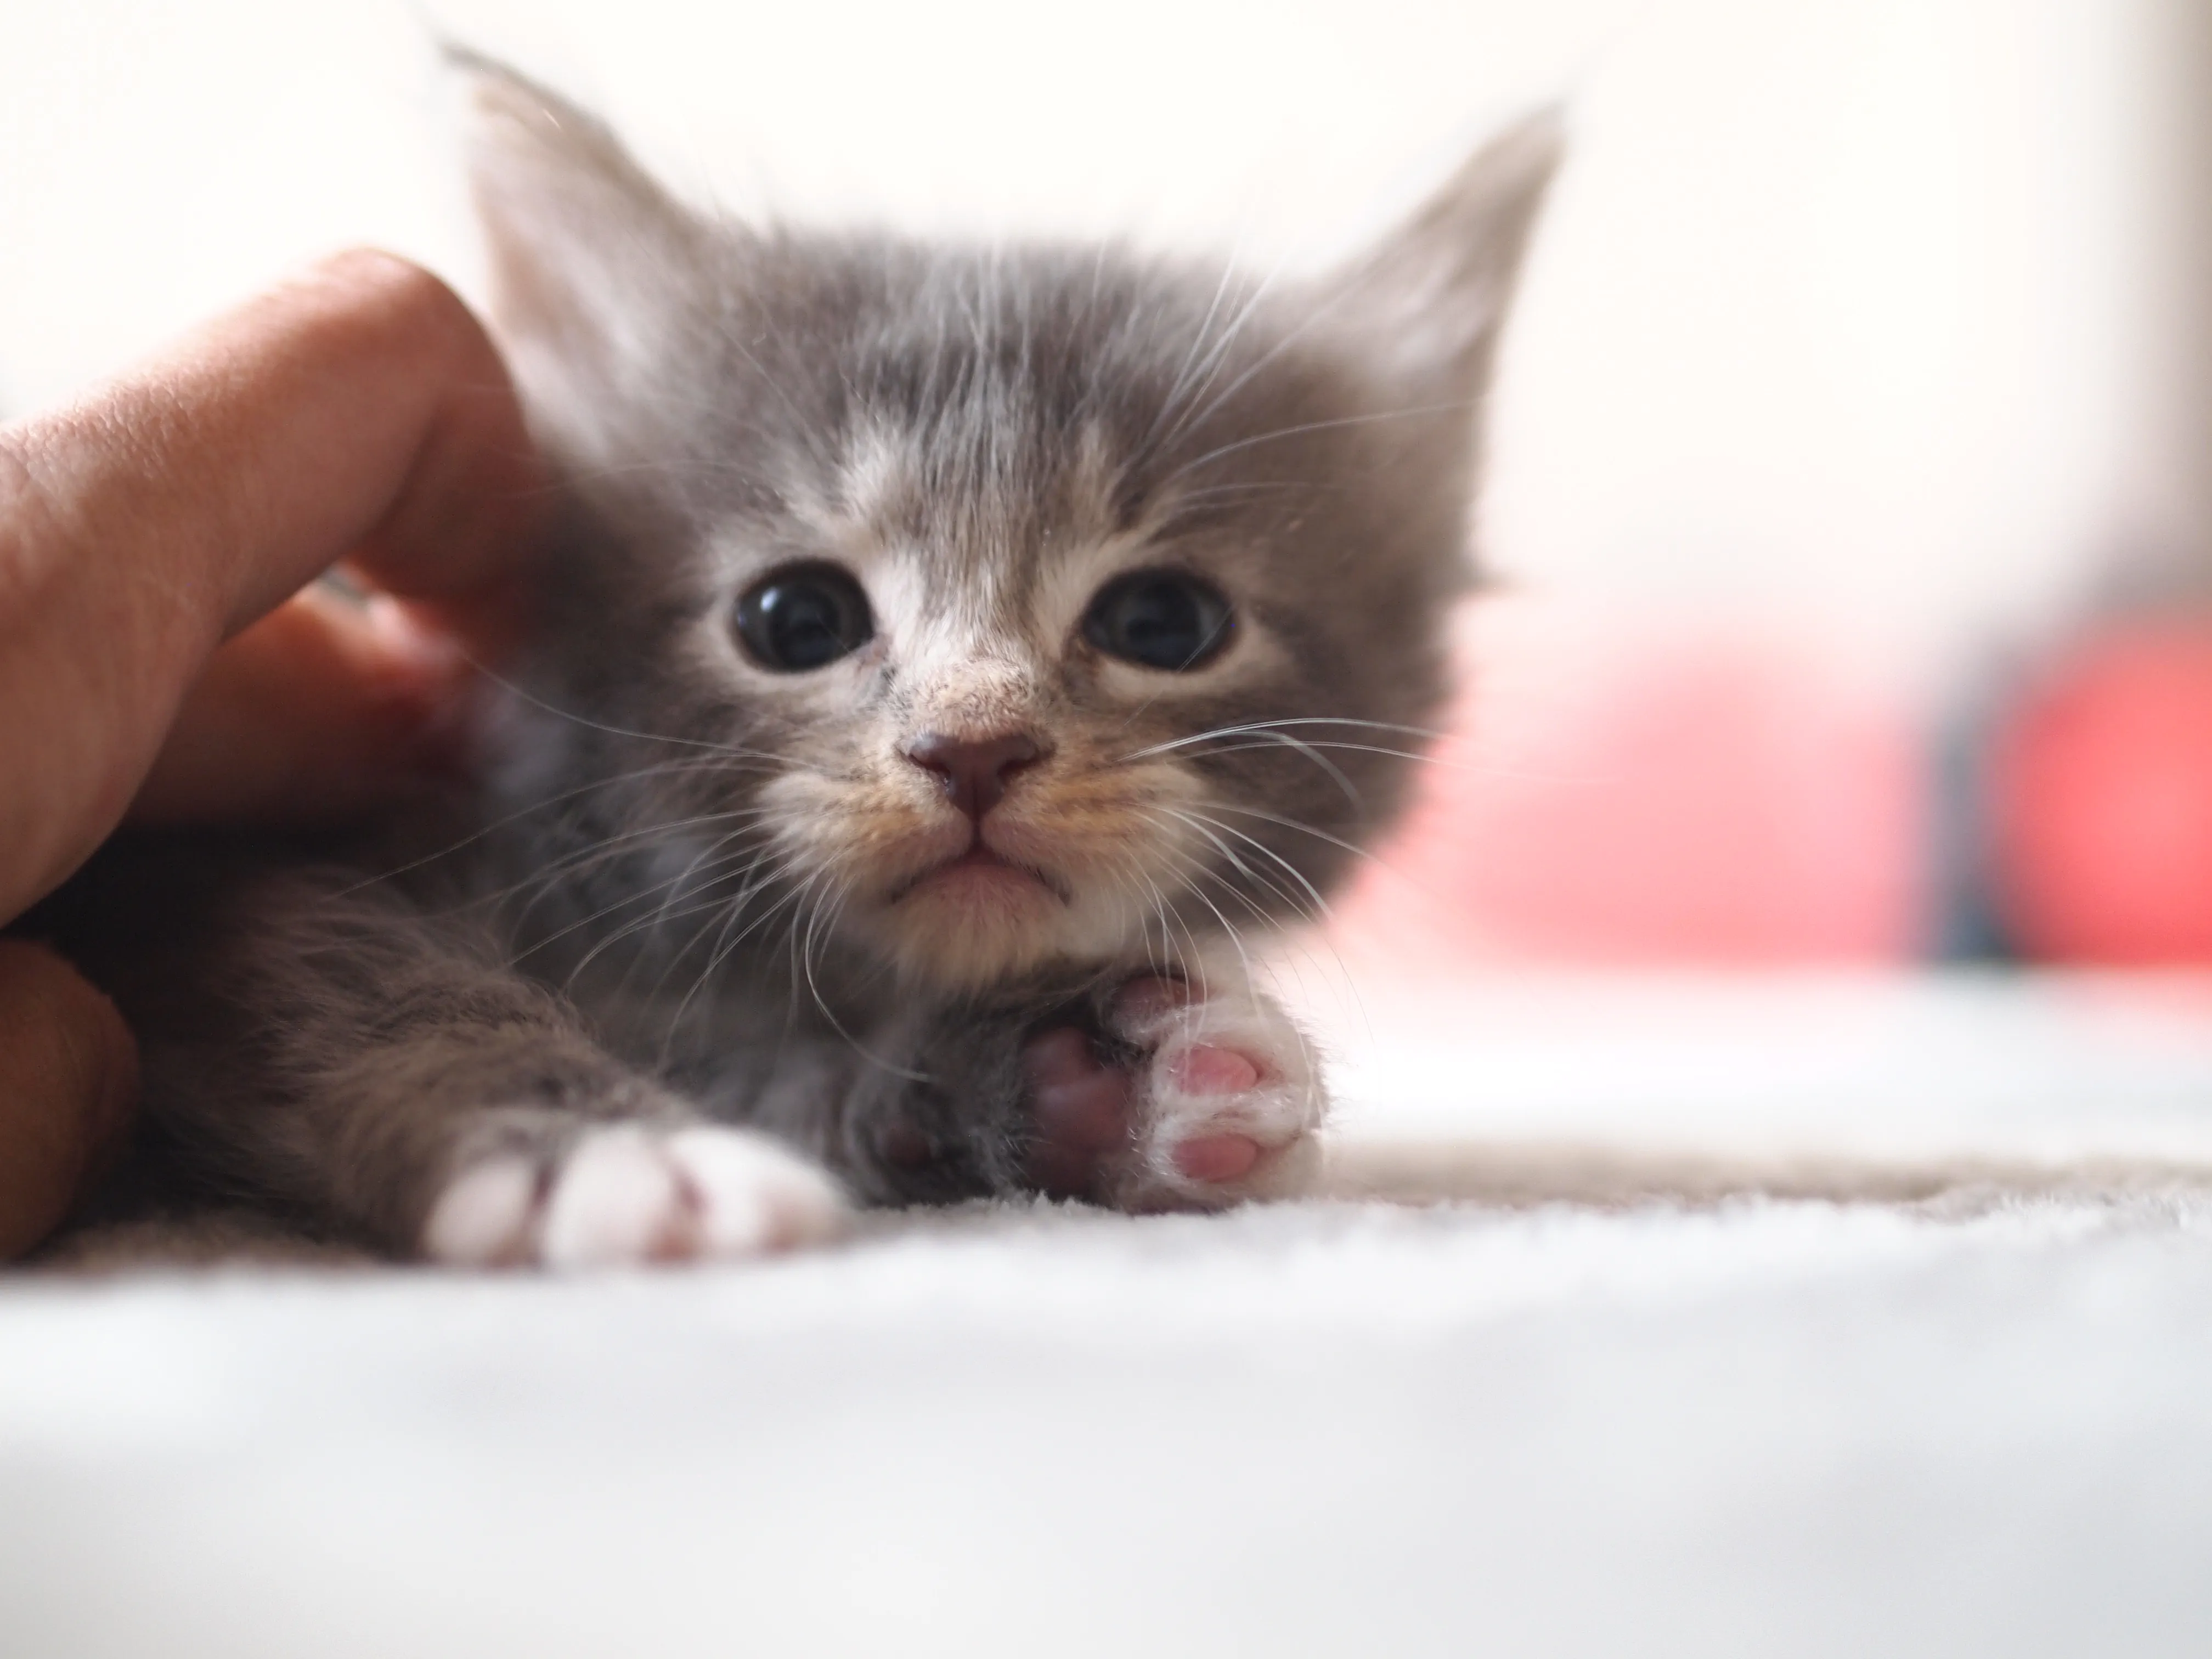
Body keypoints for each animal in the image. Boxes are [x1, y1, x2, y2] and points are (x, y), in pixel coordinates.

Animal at [35, 55, 1557, 1274]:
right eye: (795, 622)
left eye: (1163, 627)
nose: (973, 748)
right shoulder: (207, 869)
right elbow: (370, 984)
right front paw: (594, 1156)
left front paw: (1091, 1080)